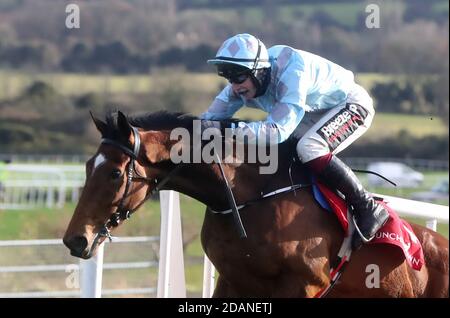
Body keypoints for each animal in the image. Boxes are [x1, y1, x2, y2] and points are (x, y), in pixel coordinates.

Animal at [62, 110, 446, 296]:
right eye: (87, 166)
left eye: (114, 173)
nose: (75, 239)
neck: (248, 197)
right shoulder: (233, 280)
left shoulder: (305, 285)